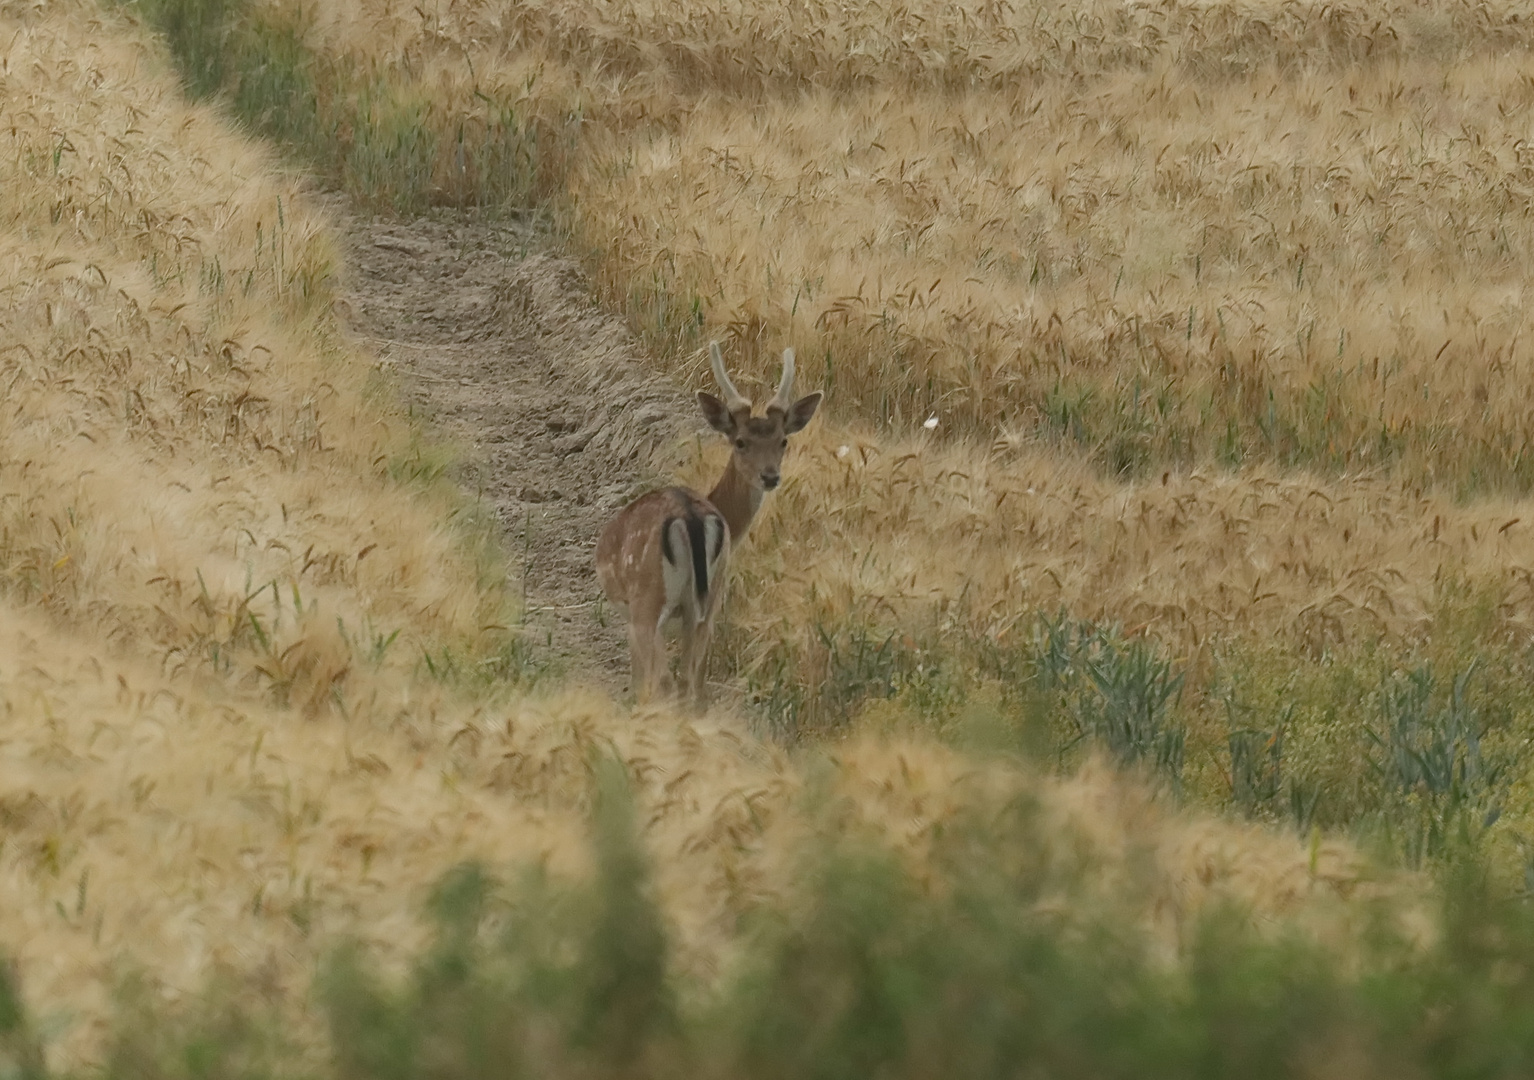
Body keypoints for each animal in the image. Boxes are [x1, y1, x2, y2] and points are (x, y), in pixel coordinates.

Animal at [592, 342, 822, 705]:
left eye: (782, 441)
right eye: (741, 441)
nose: (771, 477)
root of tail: (689, 516)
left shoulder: (629, 618)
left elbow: (639, 683)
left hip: (648, 602)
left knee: (665, 682)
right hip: (708, 604)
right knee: (691, 685)